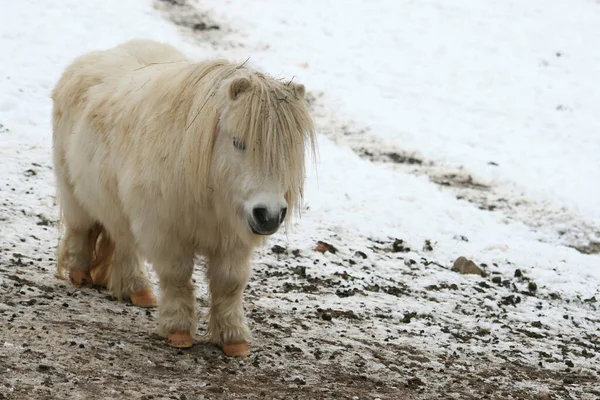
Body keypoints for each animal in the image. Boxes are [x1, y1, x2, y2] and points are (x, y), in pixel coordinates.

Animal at [51, 38, 316, 356]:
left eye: (288, 151)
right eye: (238, 142)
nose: (270, 215)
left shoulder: (232, 238)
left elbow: (230, 284)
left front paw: (233, 339)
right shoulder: (166, 232)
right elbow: (177, 277)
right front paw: (178, 331)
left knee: (124, 243)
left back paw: (137, 290)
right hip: (74, 195)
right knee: (82, 230)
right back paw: (81, 274)